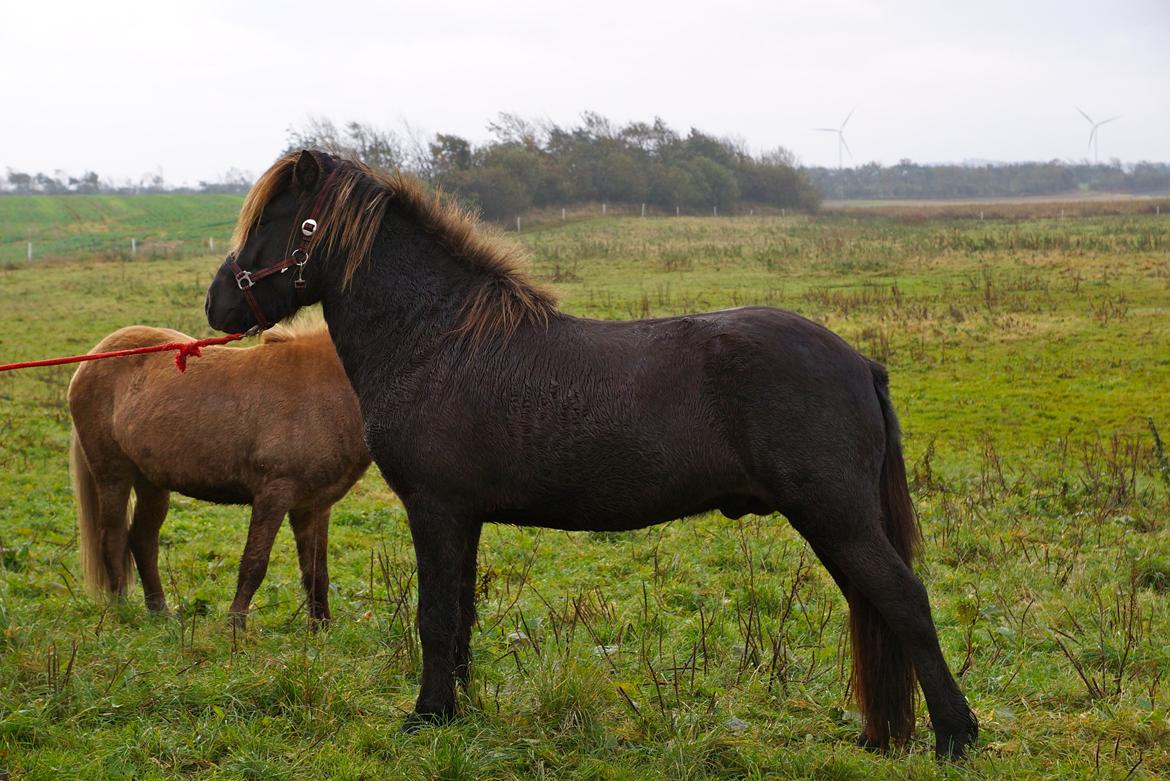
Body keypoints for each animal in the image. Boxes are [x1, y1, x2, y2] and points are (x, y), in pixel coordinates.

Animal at [68, 320, 369, 626]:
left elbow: (316, 571)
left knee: (142, 539)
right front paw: (235, 625)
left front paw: (322, 627)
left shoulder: (314, 506)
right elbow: (255, 563)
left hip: (150, 481)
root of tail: (94, 356)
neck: (324, 391)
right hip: (112, 473)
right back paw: (121, 611)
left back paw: (160, 611)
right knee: (113, 537)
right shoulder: (274, 494)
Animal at [203, 147, 978, 757]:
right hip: (833, 522)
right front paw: (455, 713)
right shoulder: (463, 518)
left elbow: (434, 614)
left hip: (835, 515)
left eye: (276, 222)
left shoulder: (436, 509)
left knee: (903, 601)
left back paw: (955, 737)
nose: (217, 304)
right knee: (872, 605)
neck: (438, 339)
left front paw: (425, 717)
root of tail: (860, 362)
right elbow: (459, 616)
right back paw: (882, 735)